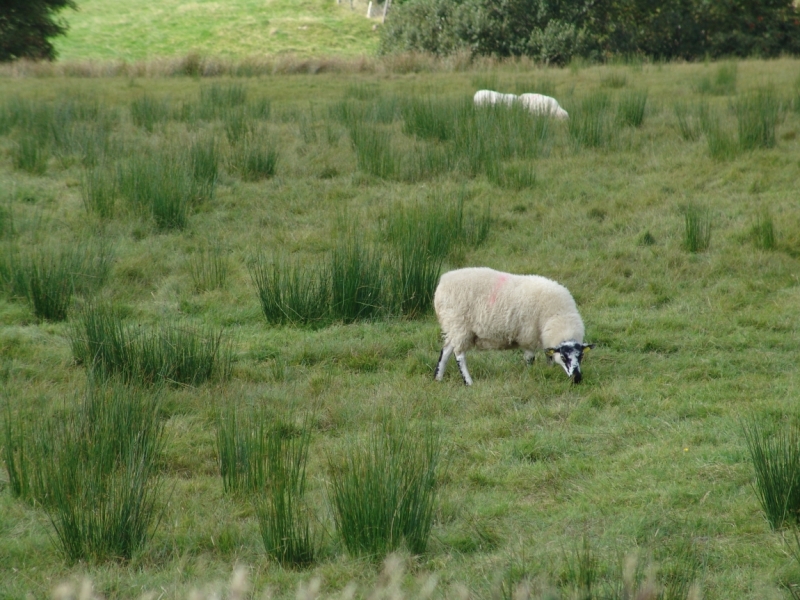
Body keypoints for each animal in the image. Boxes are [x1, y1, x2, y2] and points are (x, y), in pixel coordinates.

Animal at [432, 266, 592, 384]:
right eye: (564, 358)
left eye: (581, 356)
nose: (577, 379)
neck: (558, 316)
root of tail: (443, 280)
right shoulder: (528, 336)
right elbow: (530, 359)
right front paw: (529, 375)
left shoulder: (545, 338)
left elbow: (549, 356)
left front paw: (549, 370)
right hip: (459, 326)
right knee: (459, 355)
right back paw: (468, 382)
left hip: (453, 328)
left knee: (446, 350)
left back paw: (438, 378)